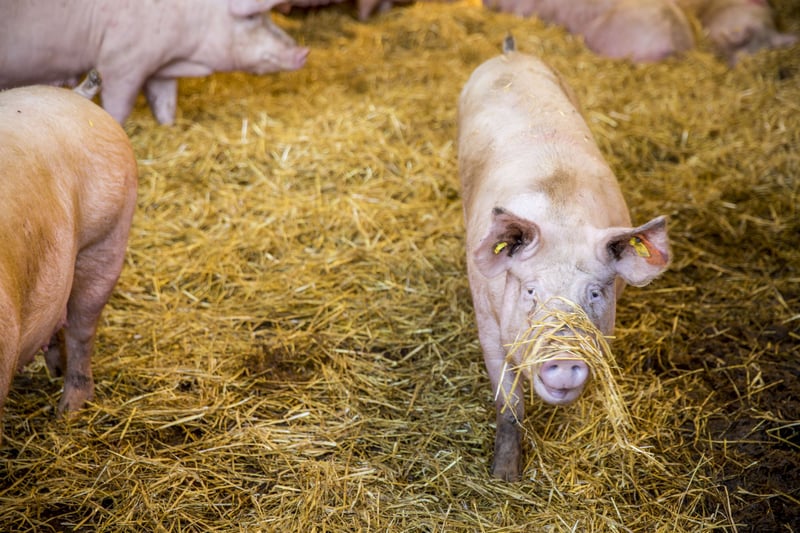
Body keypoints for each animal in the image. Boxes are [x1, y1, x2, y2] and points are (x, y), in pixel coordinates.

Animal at [0, 0, 310, 125]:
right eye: (251, 17)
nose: (303, 52)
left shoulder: (160, 71)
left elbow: (166, 104)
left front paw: (168, 126)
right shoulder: (121, 62)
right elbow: (119, 108)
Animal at [456, 35, 668, 480]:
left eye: (595, 293)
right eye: (530, 291)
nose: (565, 359)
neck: (561, 217)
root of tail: (509, 53)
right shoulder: (487, 323)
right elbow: (509, 406)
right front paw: (505, 478)